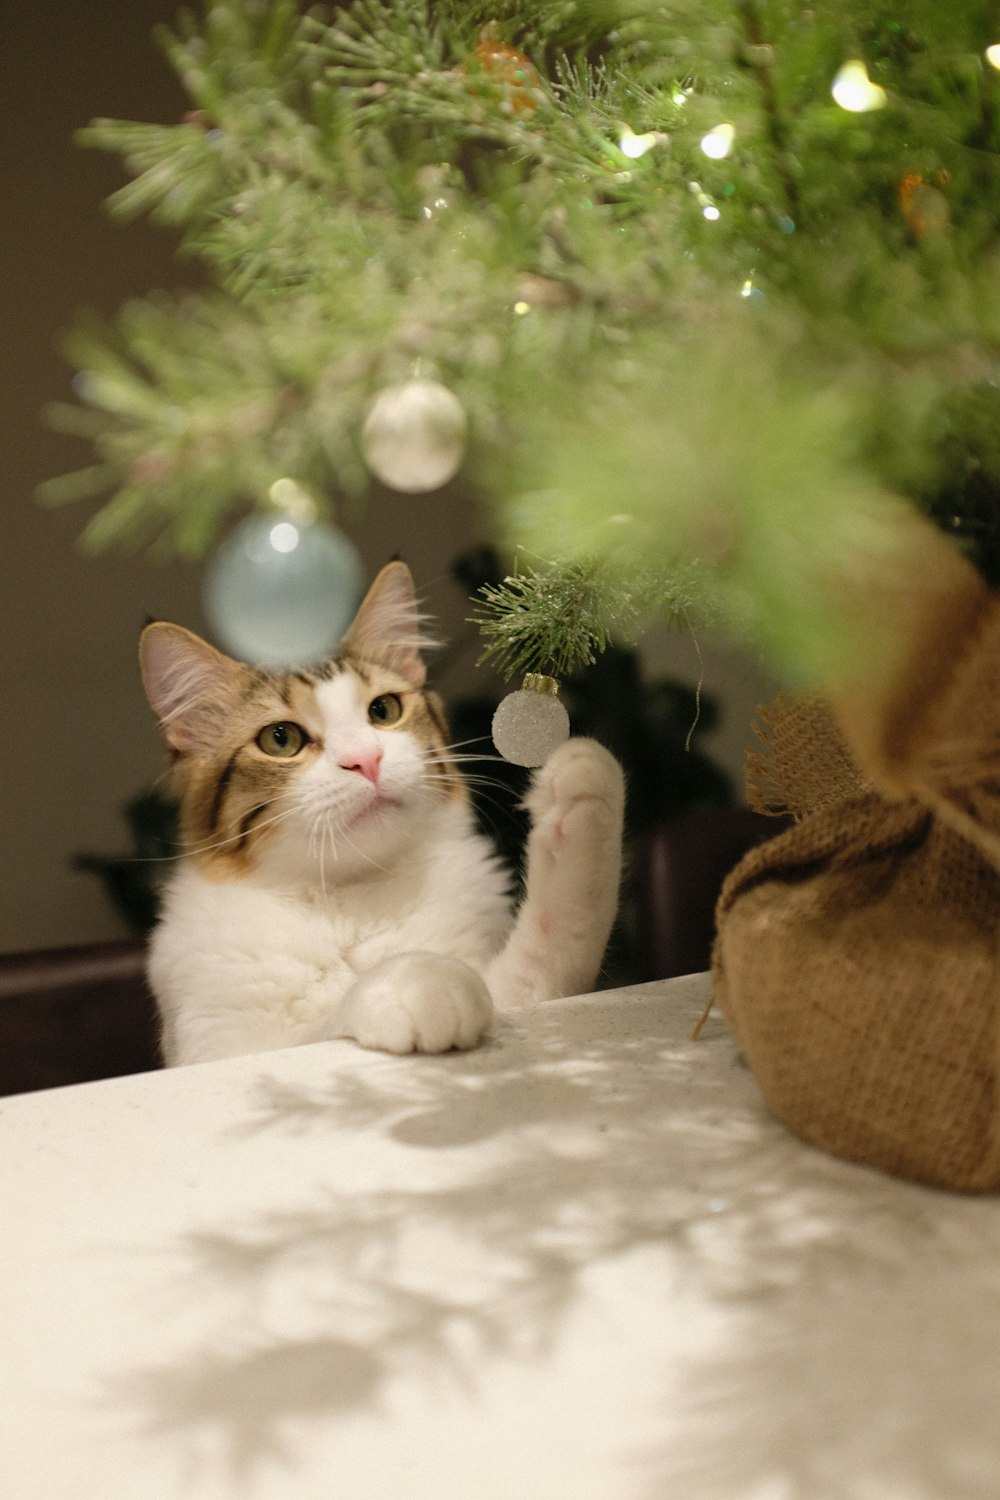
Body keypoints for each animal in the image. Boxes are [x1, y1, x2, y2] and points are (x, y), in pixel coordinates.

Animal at [138, 564, 626, 1068]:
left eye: (383, 710)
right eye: (280, 738)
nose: (366, 760)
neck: (351, 899)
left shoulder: (520, 987)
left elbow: (557, 944)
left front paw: (583, 790)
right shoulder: (217, 1048)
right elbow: (321, 1026)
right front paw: (415, 980)